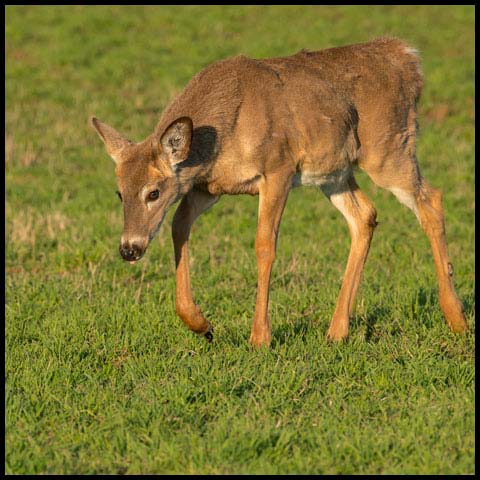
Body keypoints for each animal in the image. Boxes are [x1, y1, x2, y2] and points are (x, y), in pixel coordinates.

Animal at [91, 36, 468, 344]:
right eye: (120, 193)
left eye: (153, 192)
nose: (129, 249)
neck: (223, 133)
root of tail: (408, 58)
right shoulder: (207, 186)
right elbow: (178, 226)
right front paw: (201, 324)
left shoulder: (278, 168)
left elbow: (264, 245)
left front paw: (260, 337)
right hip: (334, 172)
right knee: (365, 215)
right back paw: (337, 331)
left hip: (388, 149)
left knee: (431, 200)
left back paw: (456, 318)